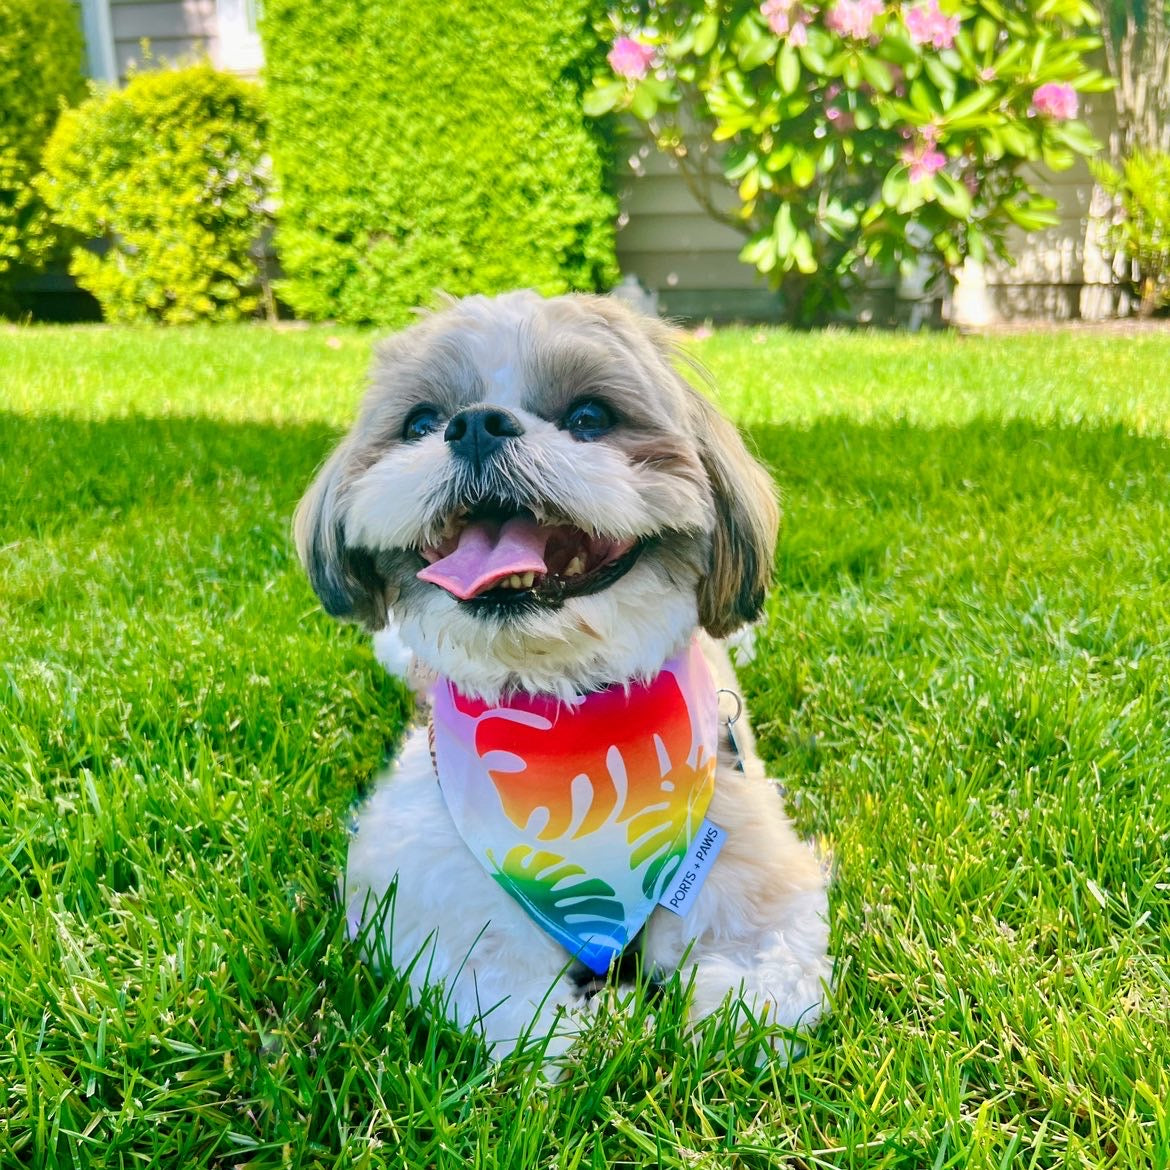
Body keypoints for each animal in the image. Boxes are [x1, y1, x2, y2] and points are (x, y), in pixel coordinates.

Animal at [292, 290, 833, 1062]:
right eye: (419, 422)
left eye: (589, 418)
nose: (475, 424)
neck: (562, 714)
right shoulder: (429, 892)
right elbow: (514, 1005)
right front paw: (605, 1029)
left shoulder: (752, 862)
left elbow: (760, 996)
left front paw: (696, 1023)